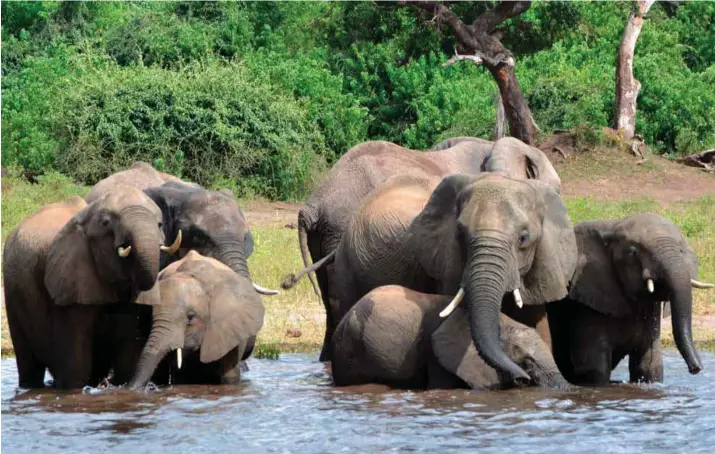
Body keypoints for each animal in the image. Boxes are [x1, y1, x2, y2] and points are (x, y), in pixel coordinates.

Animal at [3, 186, 182, 388]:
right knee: (29, 365)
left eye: (160, 224)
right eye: (105, 223)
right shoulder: (71, 278)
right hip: (13, 290)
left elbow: (128, 356)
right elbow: (76, 364)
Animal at [544, 214, 712, 386]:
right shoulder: (586, 300)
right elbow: (595, 368)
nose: (695, 369)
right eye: (633, 252)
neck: (613, 225)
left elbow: (650, 365)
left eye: (681, 250)